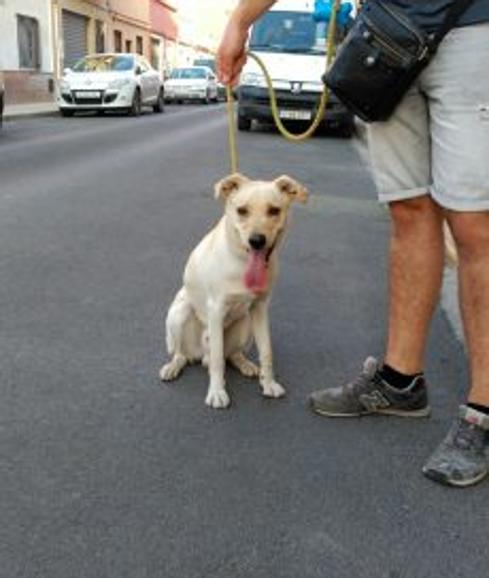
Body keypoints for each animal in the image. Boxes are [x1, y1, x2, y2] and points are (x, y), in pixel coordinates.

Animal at [158, 171, 306, 404]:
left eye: (274, 210)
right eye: (242, 211)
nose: (257, 240)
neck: (242, 262)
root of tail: (201, 355)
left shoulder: (260, 307)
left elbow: (267, 351)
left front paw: (269, 383)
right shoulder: (216, 309)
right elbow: (218, 360)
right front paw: (217, 392)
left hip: (246, 322)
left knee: (232, 354)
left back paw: (245, 364)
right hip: (178, 314)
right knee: (185, 354)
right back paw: (173, 366)